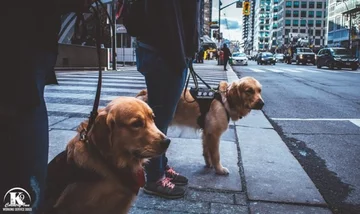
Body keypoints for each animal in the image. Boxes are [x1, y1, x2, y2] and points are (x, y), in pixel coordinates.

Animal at [136, 76, 264, 175]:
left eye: (259, 90)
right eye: (249, 90)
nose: (262, 103)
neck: (225, 100)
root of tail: (144, 92)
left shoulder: (207, 132)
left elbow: (207, 151)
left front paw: (209, 164)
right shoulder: (214, 134)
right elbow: (216, 155)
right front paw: (219, 169)